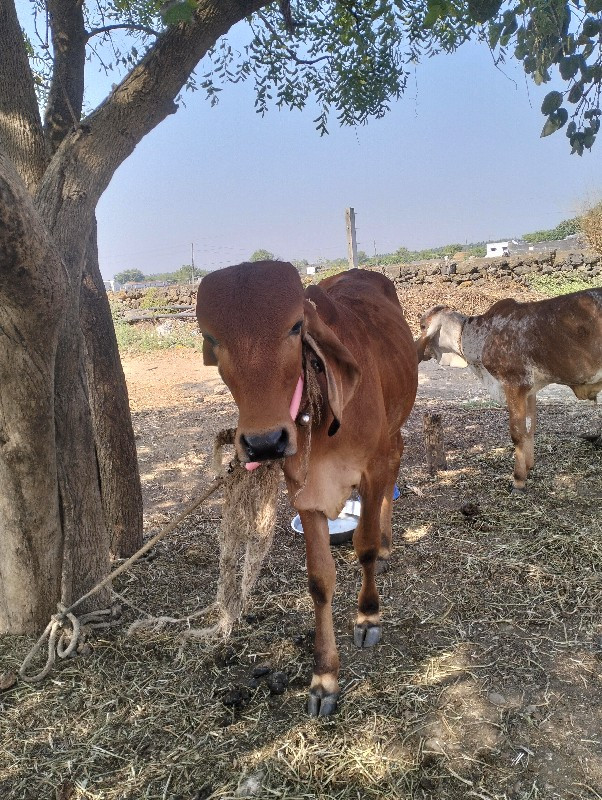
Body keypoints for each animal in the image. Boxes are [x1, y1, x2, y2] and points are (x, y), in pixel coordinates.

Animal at [195, 260, 414, 712]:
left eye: (296, 326)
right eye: (211, 337)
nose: (264, 441)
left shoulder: (371, 469)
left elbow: (364, 546)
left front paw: (368, 615)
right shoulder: (303, 489)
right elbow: (319, 580)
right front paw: (324, 678)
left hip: (392, 434)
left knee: (395, 468)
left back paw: (386, 543)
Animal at [414, 288, 600, 488]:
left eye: (422, 326)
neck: (480, 336)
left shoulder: (514, 384)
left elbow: (517, 434)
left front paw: (518, 480)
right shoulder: (530, 390)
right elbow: (529, 429)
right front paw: (529, 467)